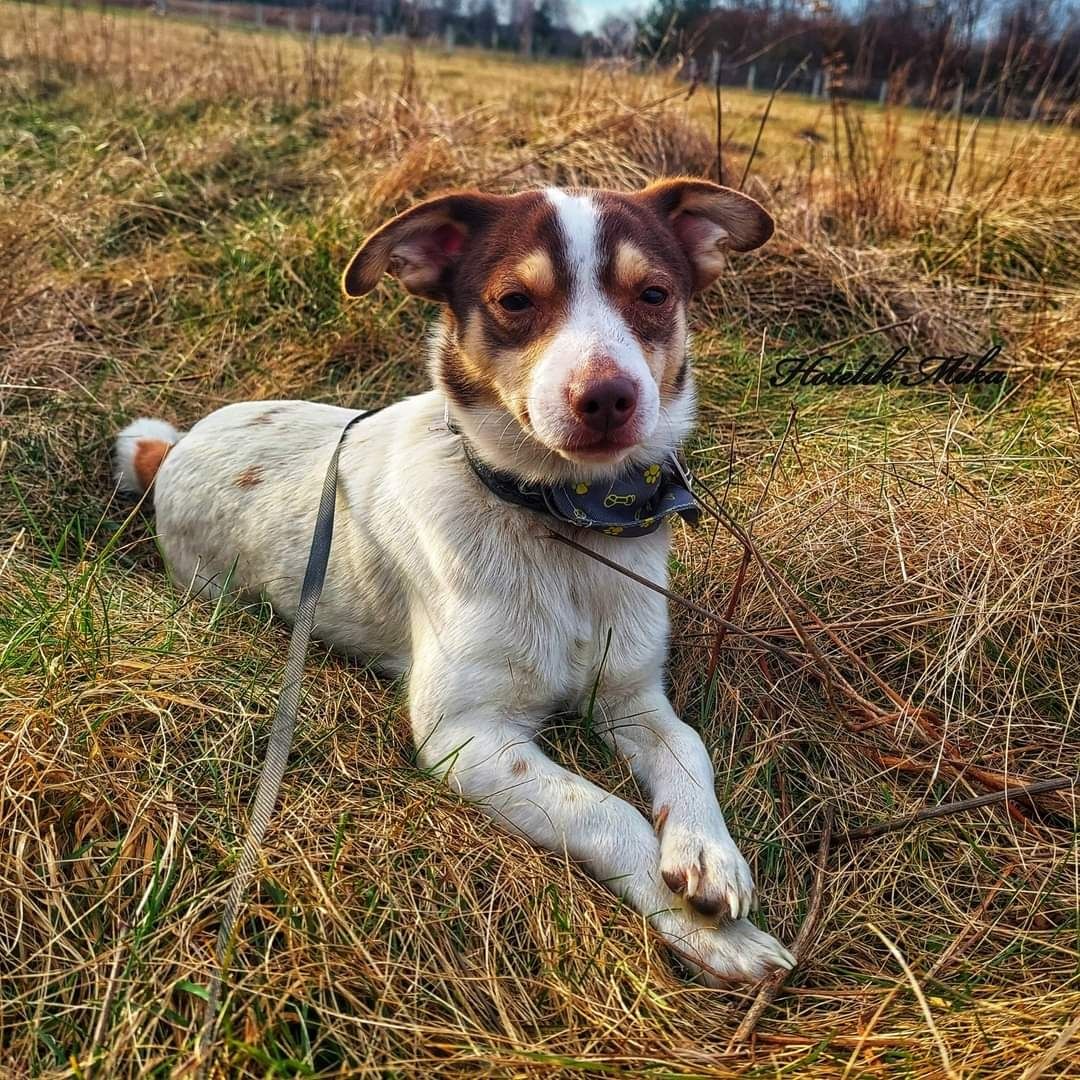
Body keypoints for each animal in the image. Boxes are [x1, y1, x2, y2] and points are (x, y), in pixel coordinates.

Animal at [116, 179, 794, 989]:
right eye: (515, 300)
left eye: (654, 293)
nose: (607, 397)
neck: (563, 524)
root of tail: (177, 446)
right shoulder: (465, 737)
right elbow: (605, 812)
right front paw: (707, 932)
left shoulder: (632, 696)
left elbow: (689, 749)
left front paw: (708, 854)